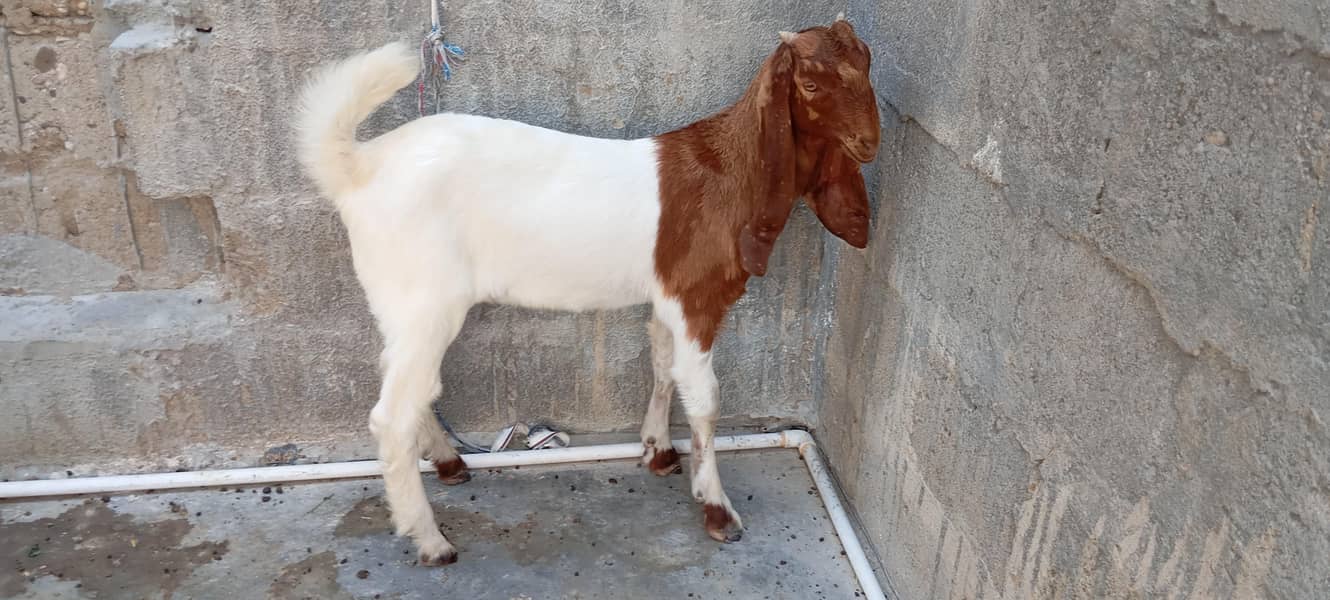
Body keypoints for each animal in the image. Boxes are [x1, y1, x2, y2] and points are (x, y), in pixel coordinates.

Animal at [295, 16, 881, 565]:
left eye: (867, 65)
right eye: (809, 84)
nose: (869, 143)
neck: (727, 170)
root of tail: (358, 167)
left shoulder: (665, 297)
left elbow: (662, 365)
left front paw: (658, 450)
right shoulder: (695, 298)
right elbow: (705, 399)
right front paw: (717, 509)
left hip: (401, 307)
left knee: (413, 390)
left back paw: (448, 462)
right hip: (425, 302)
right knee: (392, 414)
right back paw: (431, 539)